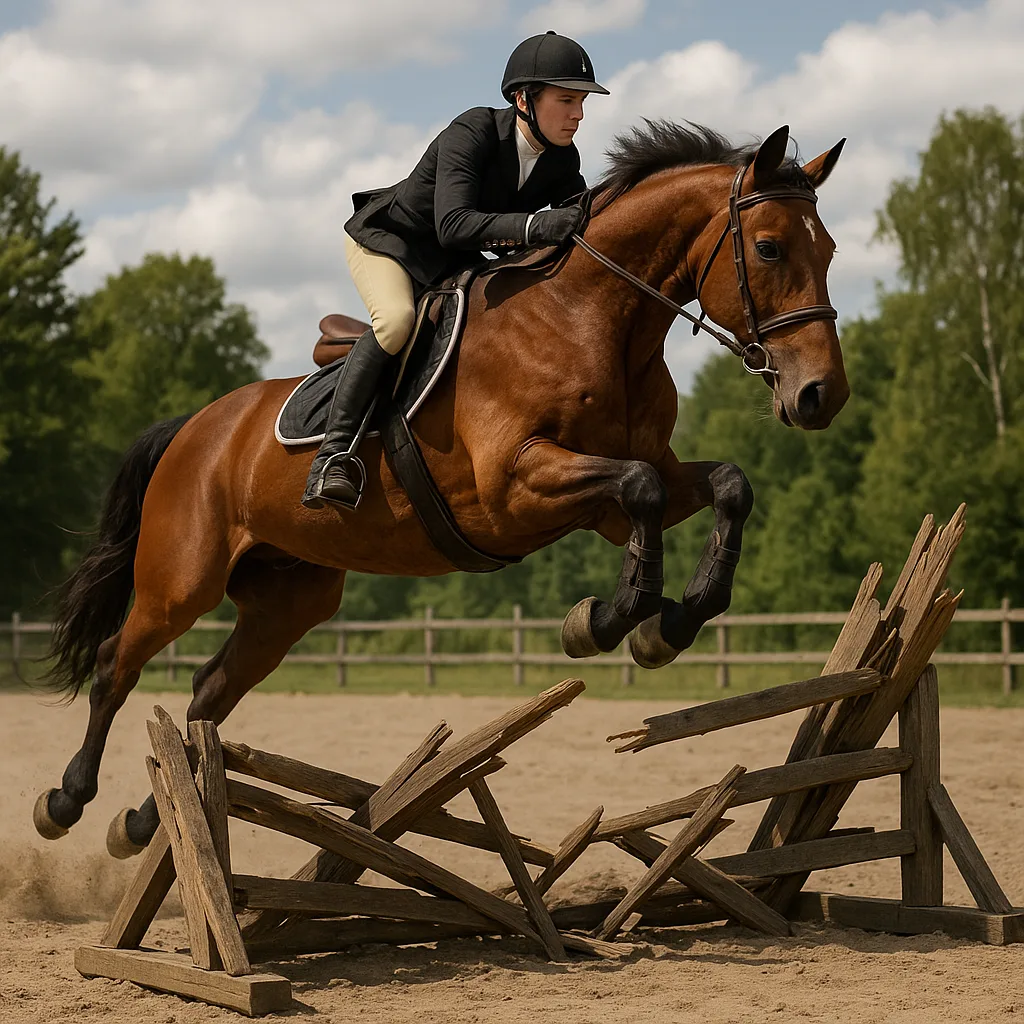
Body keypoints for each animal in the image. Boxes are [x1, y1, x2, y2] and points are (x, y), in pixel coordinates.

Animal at [34, 122, 849, 856]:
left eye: (832, 251)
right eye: (770, 247)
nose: (821, 396)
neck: (593, 321)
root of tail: (195, 425)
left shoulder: (615, 501)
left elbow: (726, 486)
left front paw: (666, 625)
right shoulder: (514, 487)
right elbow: (643, 488)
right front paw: (603, 623)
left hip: (289, 599)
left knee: (210, 692)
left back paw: (147, 822)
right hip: (182, 579)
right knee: (114, 664)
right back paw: (67, 802)